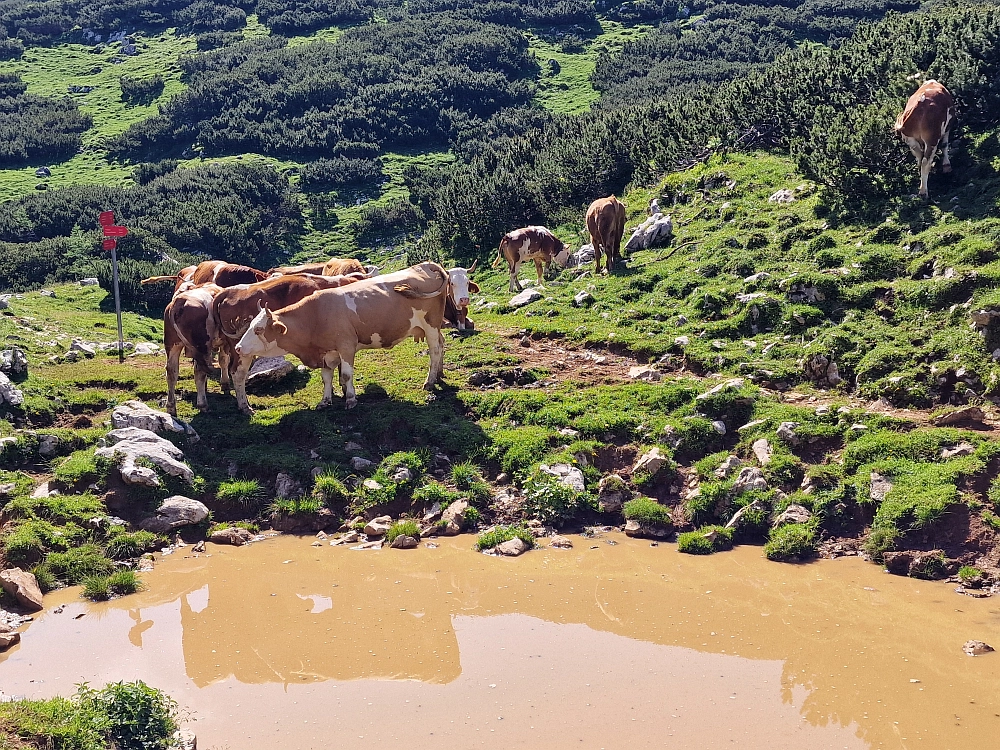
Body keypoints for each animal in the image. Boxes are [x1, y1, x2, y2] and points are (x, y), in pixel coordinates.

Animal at [163, 284, 224, 418]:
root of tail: (179, 301)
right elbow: (224, 360)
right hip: (202, 346)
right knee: (200, 371)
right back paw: (203, 405)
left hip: (172, 344)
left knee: (172, 371)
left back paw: (171, 408)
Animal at [234, 262, 450, 408]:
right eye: (250, 325)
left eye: (258, 329)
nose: (238, 348)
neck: (316, 315)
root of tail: (425, 265)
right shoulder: (327, 352)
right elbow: (326, 376)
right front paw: (325, 400)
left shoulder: (346, 346)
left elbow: (346, 374)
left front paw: (351, 399)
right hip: (432, 327)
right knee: (441, 343)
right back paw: (439, 374)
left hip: (431, 324)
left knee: (435, 350)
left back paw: (430, 381)